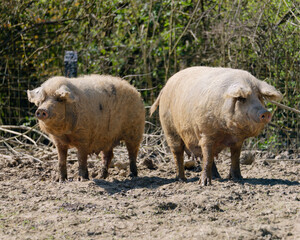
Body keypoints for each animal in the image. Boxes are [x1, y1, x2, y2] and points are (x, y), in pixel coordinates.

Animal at [151, 67, 282, 186]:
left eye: (259, 96)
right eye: (242, 98)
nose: (266, 112)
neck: (228, 131)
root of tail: (165, 87)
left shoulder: (238, 140)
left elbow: (235, 157)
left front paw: (238, 179)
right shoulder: (205, 132)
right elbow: (208, 157)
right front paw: (204, 184)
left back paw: (216, 177)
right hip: (169, 128)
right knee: (178, 152)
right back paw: (182, 180)